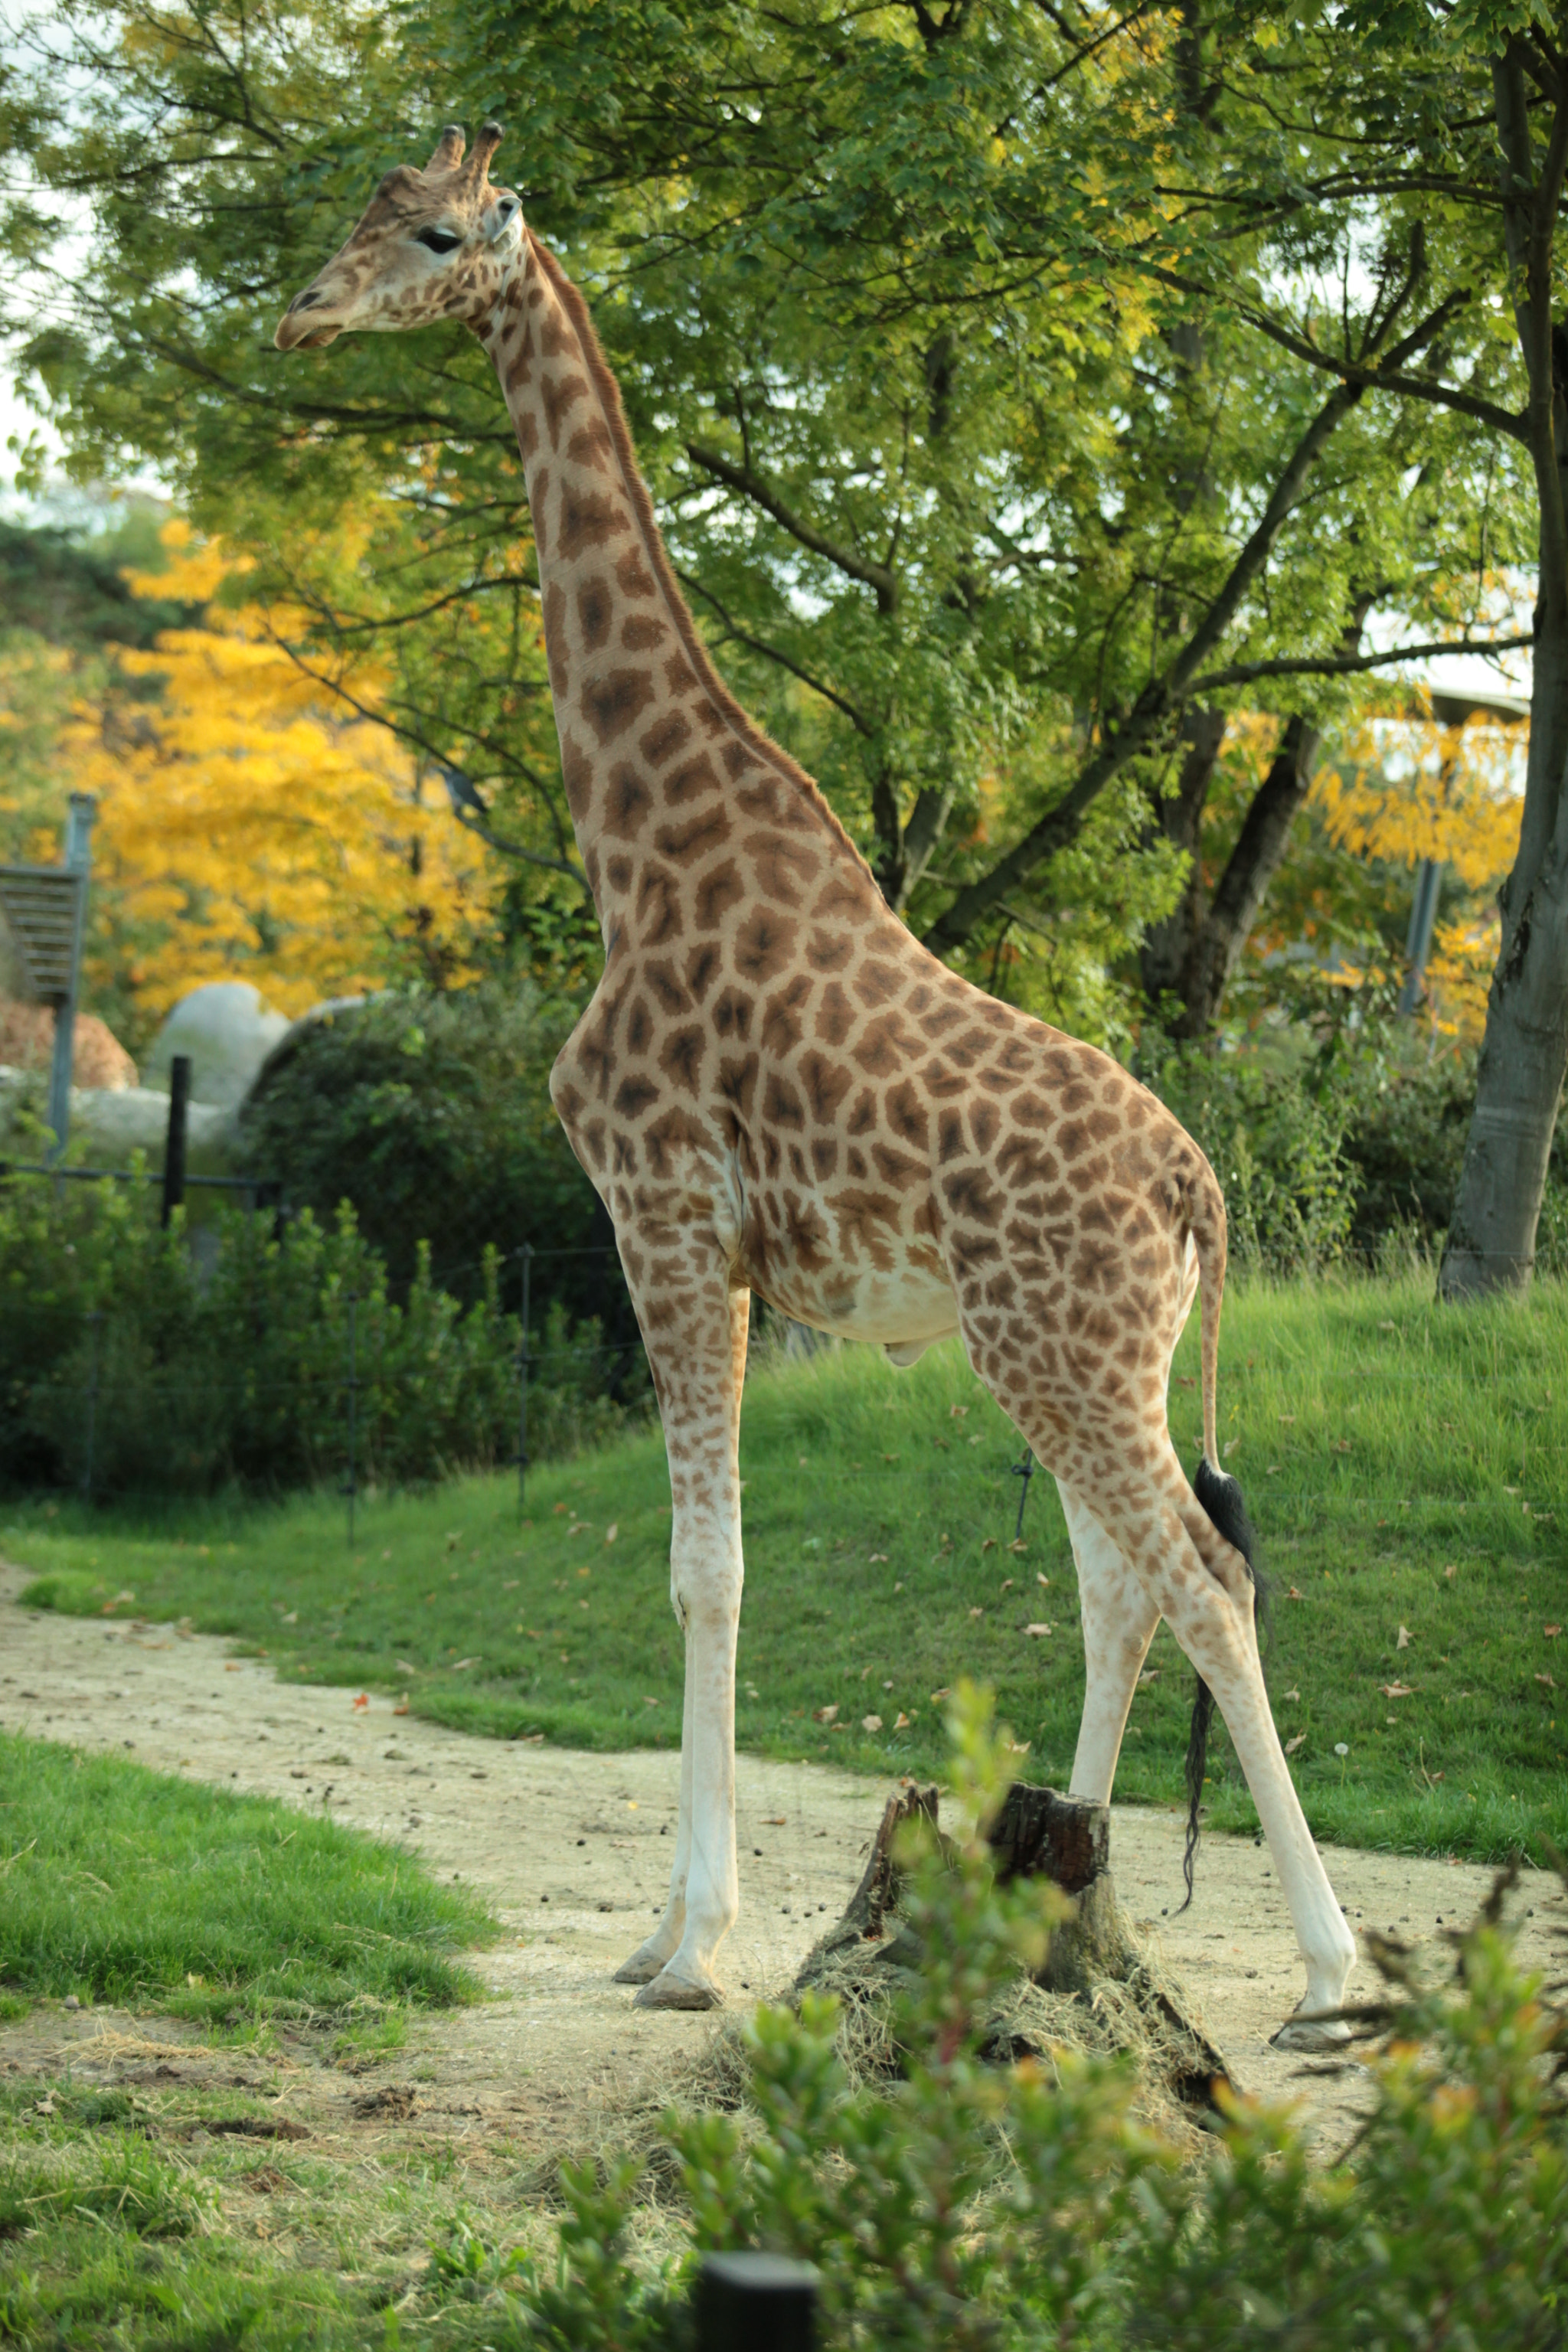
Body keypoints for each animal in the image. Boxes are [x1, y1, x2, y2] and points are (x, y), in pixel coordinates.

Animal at [282, 124, 1363, 2041]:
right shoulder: (714, 1251)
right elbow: (708, 1565)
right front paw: (667, 1933)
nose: (301, 315)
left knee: (1205, 1581)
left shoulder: (660, 1217)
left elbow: (703, 1570)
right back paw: (1057, 1896)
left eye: (433, 232)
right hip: (1087, 1355)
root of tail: (1199, 1189)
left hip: (1057, 1350)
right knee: (1121, 1585)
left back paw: (1329, 1972)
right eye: (361, 213)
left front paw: (685, 1950)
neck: (637, 848)